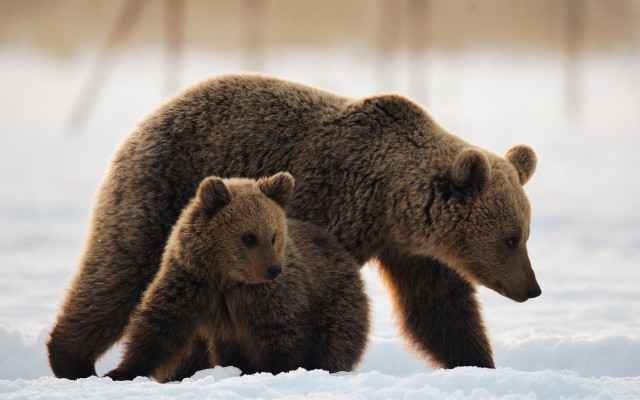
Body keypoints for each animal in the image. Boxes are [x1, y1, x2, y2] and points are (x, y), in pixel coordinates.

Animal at [103, 172, 370, 382]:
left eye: (273, 236)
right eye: (249, 237)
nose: (274, 269)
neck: (226, 279)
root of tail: (341, 250)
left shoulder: (269, 298)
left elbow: (282, 337)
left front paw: (277, 371)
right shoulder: (190, 282)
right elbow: (159, 326)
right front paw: (120, 372)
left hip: (336, 304)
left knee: (335, 342)